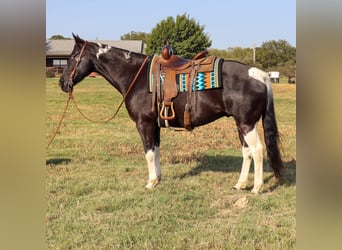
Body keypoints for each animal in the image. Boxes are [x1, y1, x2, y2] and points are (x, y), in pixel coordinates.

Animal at [59, 33, 286, 193]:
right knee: (247, 152)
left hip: (247, 124)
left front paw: (150, 182)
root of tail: (260, 75)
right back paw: (240, 184)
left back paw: (256, 187)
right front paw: (158, 179)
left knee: (257, 150)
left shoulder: (144, 124)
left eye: (72, 57)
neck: (135, 76)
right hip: (241, 124)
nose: (62, 83)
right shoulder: (155, 125)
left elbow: (149, 153)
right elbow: (156, 151)